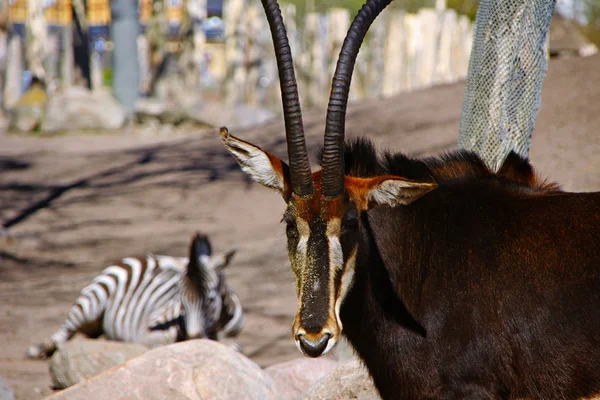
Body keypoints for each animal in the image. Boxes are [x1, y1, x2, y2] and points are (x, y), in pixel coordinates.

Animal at [27, 231, 244, 360]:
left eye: (210, 300)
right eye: (180, 303)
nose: (193, 340)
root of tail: (138, 257)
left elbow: (235, 348)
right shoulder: (151, 333)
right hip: (90, 304)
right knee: (63, 333)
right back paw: (38, 349)